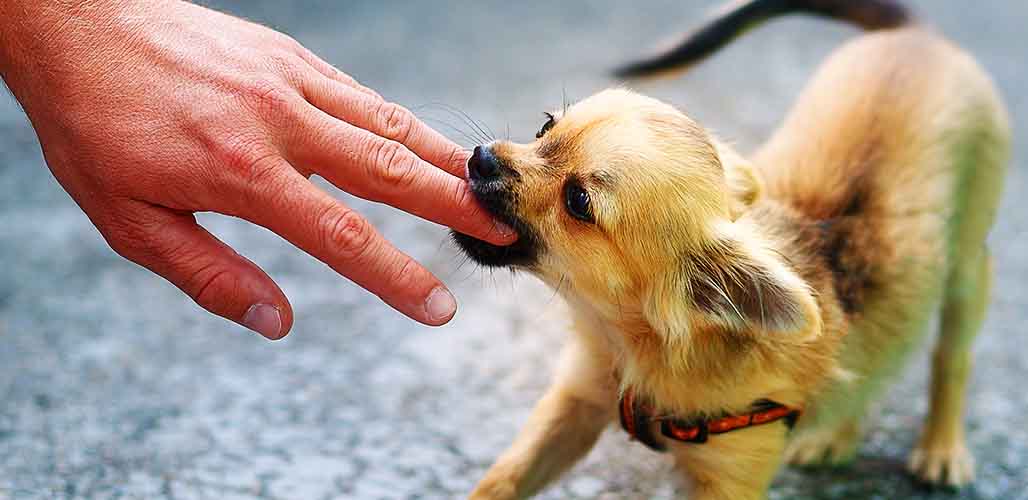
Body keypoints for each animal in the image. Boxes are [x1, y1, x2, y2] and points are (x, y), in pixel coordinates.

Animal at [454, 1, 1007, 497]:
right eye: (545, 127)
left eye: (578, 201)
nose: (480, 159)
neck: (635, 345)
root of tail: (919, 38)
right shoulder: (576, 402)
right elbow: (501, 481)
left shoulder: (729, 478)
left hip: (967, 270)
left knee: (950, 356)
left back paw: (940, 447)